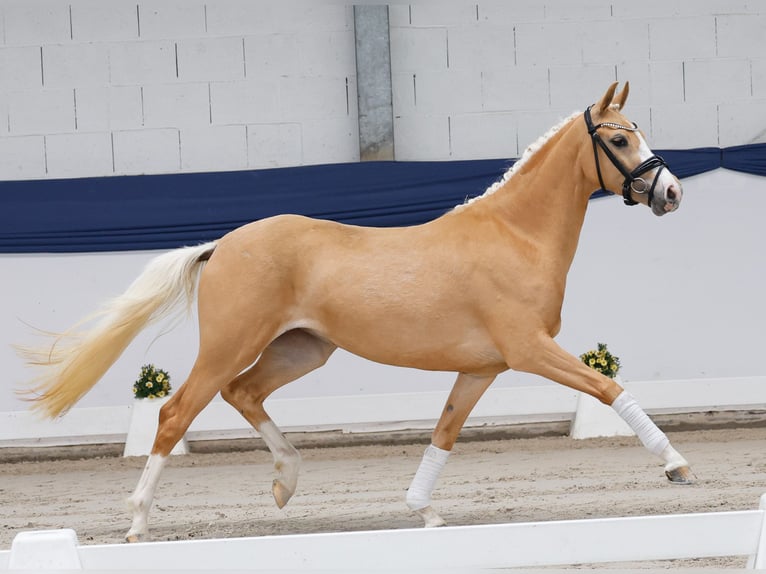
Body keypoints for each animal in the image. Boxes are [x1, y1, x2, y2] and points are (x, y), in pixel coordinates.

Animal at [20, 82, 693, 542]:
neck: (515, 235)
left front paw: (425, 512)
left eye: (637, 129)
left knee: (244, 394)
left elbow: (444, 431)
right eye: (618, 138)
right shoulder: (530, 350)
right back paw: (138, 523)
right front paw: (677, 467)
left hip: (301, 350)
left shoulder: (482, 368)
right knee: (176, 413)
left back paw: (286, 481)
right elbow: (607, 388)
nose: (671, 192)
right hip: (230, 346)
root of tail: (222, 244)